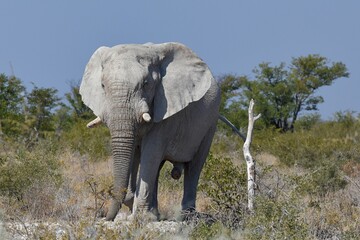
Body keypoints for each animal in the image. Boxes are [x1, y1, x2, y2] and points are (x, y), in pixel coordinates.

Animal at [80, 42, 221, 221]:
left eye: (146, 84)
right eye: (103, 86)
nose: (106, 218)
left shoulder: (166, 107)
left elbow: (151, 152)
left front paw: (141, 217)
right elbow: (136, 153)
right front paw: (135, 206)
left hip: (210, 122)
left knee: (194, 166)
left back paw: (187, 216)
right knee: (158, 167)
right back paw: (156, 213)